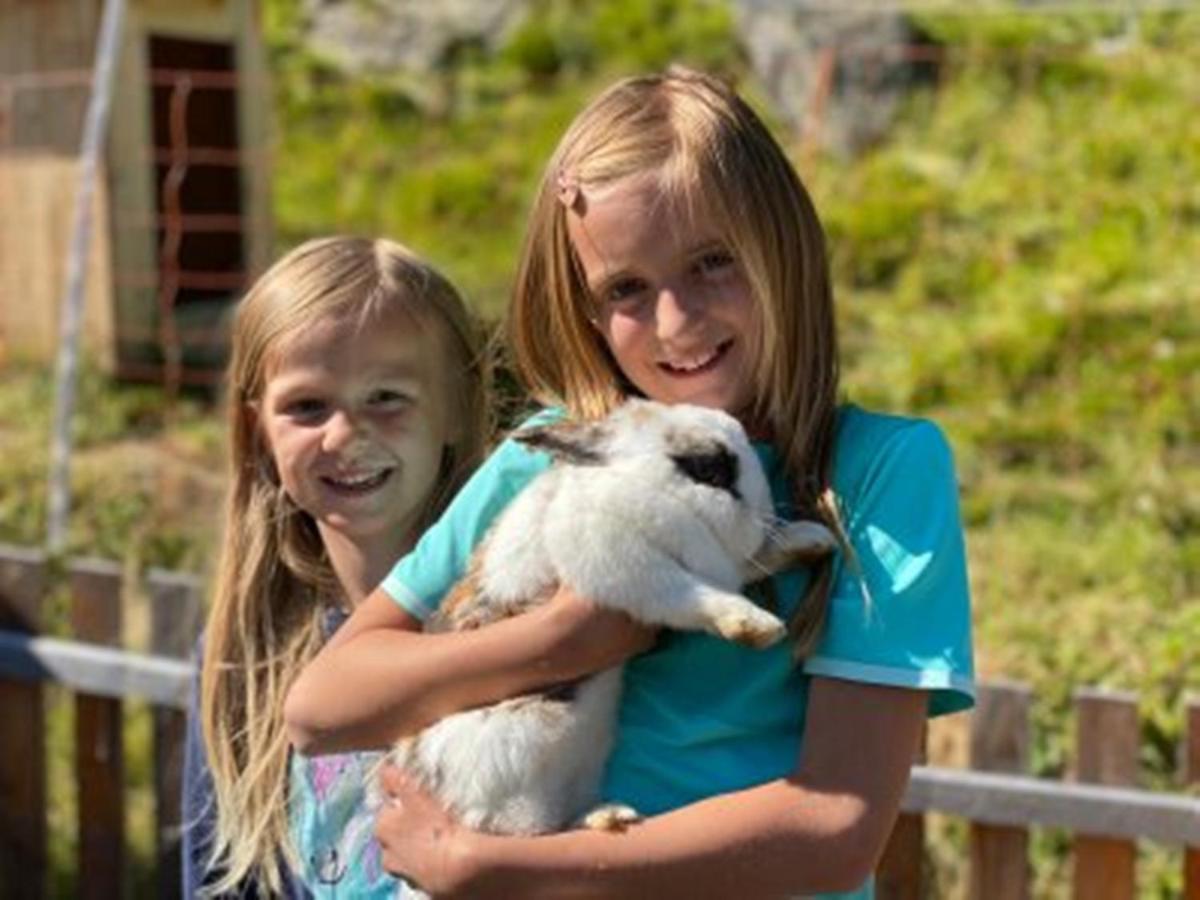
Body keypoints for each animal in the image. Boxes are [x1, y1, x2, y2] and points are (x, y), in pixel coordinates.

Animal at [391, 400, 835, 844]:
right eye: (706, 469)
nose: (763, 515)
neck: (645, 490)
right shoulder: (628, 567)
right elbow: (688, 594)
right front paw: (759, 625)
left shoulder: (717, 563)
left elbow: (751, 563)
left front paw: (814, 539)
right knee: (523, 836)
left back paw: (609, 815)